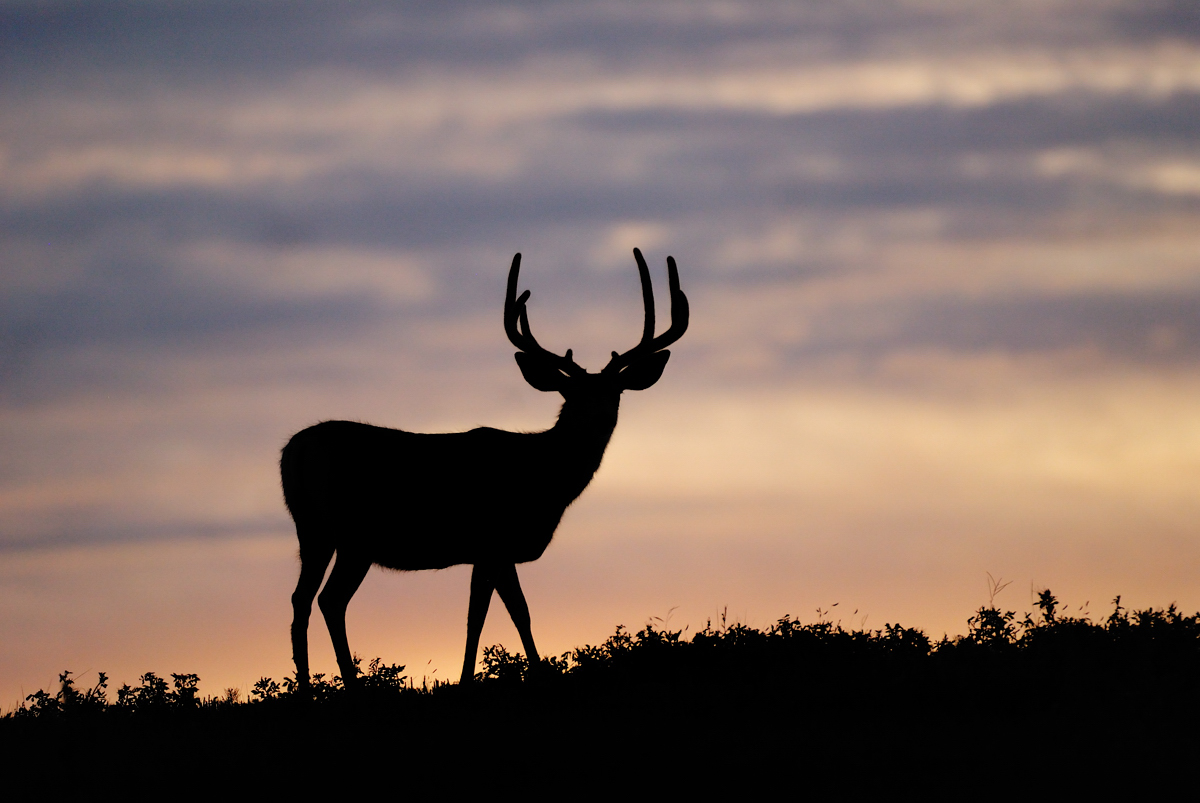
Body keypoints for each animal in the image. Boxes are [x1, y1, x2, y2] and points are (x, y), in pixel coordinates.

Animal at [281, 248, 688, 690]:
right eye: (571, 394)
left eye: (615, 394)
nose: (594, 421)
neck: (542, 476)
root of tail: (292, 452)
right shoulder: (490, 540)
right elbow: (478, 617)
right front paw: (465, 682)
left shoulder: (501, 551)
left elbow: (520, 612)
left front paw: (536, 673)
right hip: (354, 534)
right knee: (329, 599)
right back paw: (347, 685)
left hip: (315, 531)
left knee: (306, 598)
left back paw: (309, 687)